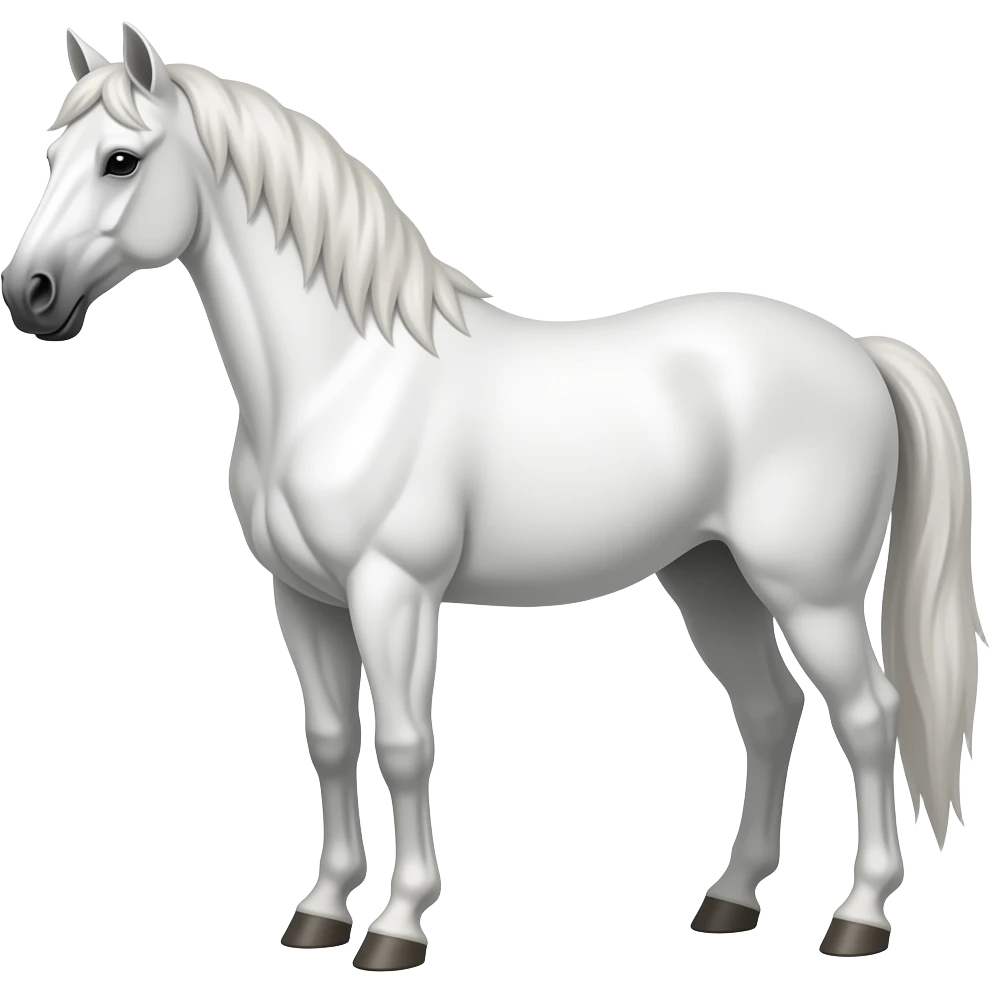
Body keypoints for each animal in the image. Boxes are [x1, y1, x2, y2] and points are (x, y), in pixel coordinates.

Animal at [2, 22, 986, 968]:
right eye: (52, 151)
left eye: (120, 159)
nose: (29, 294)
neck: (344, 377)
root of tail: (857, 349)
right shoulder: (304, 599)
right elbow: (331, 741)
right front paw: (319, 913)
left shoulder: (392, 592)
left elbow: (404, 744)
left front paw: (397, 927)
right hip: (712, 578)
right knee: (770, 710)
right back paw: (729, 900)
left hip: (809, 591)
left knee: (868, 715)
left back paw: (857, 917)